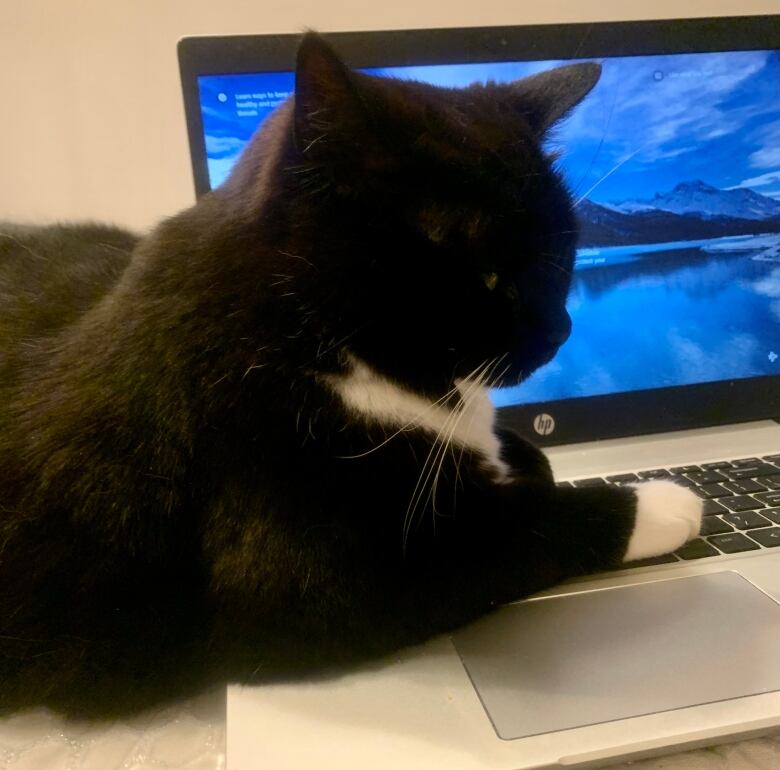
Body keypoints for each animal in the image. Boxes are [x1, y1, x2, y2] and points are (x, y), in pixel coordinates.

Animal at [0, 30, 700, 712]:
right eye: (487, 275)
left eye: (563, 256)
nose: (562, 331)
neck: (318, 345)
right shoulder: (314, 575)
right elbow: (524, 526)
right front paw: (661, 503)